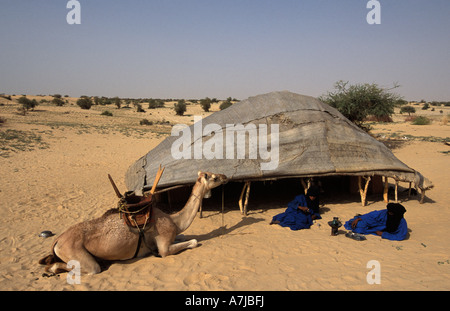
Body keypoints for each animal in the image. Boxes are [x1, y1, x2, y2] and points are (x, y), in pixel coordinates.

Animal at [38, 172, 227, 276]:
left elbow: (186, 236)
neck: (174, 220)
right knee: (79, 268)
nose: (225, 176)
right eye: (214, 177)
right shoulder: (164, 246)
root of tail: (57, 241)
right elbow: (192, 242)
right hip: (76, 254)